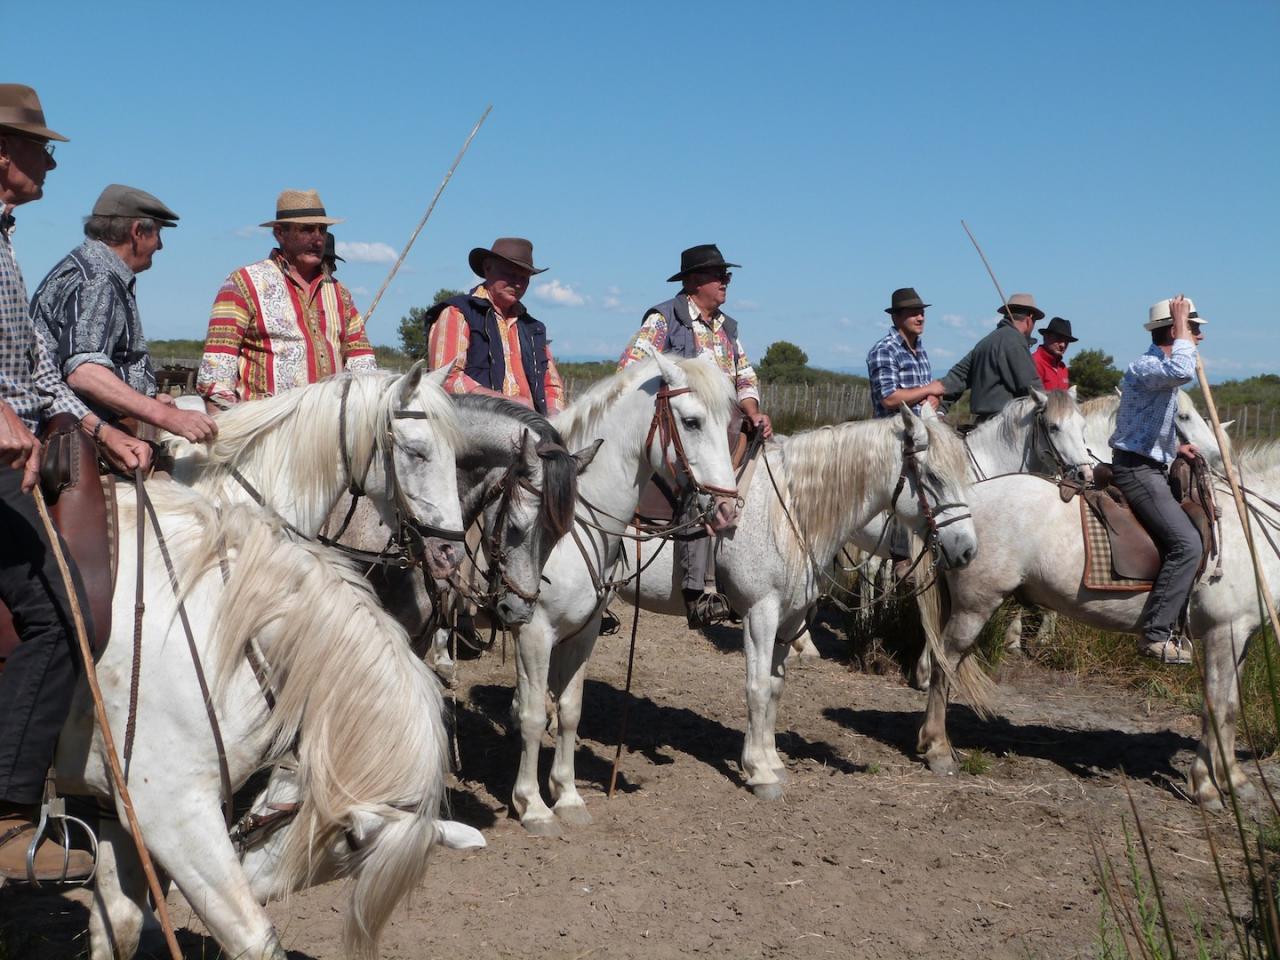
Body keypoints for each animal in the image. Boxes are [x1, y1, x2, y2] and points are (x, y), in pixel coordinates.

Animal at [57, 488, 463, 960]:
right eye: (349, 839)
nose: (253, 881)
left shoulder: (120, 803)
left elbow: (118, 924)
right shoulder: (171, 810)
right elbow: (254, 938)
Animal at [506, 353, 742, 834]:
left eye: (730, 424)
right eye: (691, 422)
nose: (727, 510)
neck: (569, 525)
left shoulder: (583, 632)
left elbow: (570, 709)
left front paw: (568, 796)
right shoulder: (534, 633)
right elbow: (534, 715)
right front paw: (533, 806)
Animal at [619, 407, 977, 798]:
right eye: (933, 476)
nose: (967, 550)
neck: (788, 511)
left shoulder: (788, 619)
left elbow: (775, 688)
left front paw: (773, 762)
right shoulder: (759, 615)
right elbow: (757, 688)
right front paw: (759, 772)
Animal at [916, 437, 1274, 814]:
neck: (1250, 532)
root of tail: (956, 516)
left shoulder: (1242, 636)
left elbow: (1231, 707)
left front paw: (1236, 780)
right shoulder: (1225, 631)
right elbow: (1215, 708)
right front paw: (1206, 786)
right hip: (976, 605)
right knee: (943, 664)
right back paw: (938, 749)